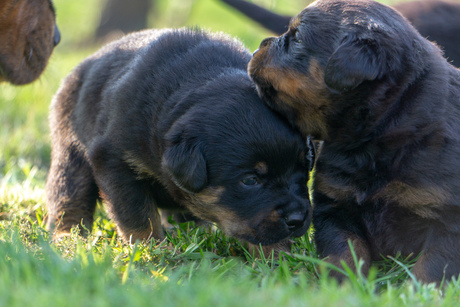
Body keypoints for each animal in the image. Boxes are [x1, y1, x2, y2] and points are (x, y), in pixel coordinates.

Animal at [45, 27, 314, 253]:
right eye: (250, 180)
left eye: (302, 171)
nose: (298, 219)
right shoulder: (114, 159)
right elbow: (137, 215)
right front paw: (153, 250)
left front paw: (276, 256)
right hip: (70, 147)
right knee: (69, 197)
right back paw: (67, 238)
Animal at [248, 0, 460, 284]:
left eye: (298, 38)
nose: (261, 43)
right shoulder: (335, 204)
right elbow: (344, 251)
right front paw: (342, 285)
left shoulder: (449, 217)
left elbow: (433, 266)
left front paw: (418, 289)